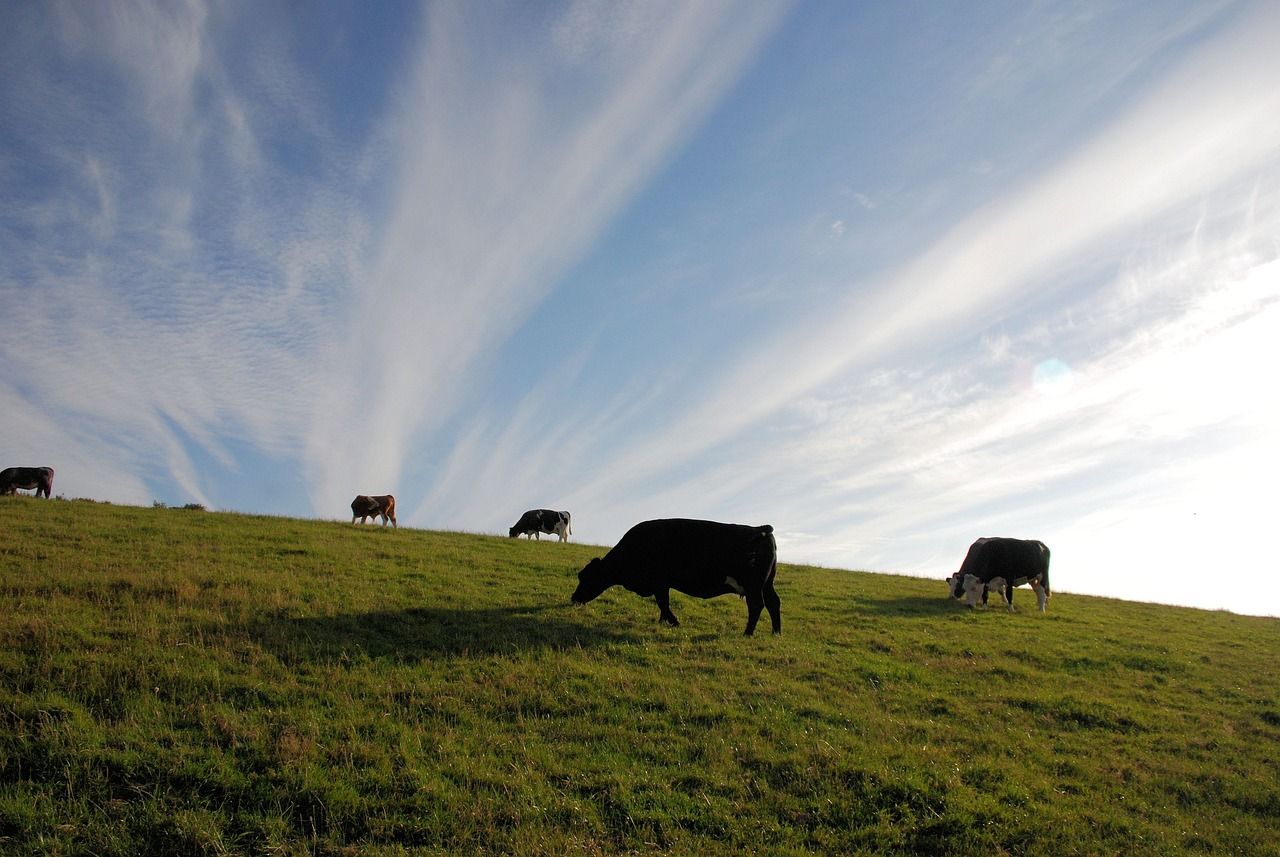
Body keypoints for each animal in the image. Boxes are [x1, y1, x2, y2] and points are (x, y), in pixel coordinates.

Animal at [571, 518, 781, 636]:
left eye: (586, 578)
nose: (573, 598)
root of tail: (760, 529)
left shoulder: (659, 582)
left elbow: (663, 603)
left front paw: (673, 622)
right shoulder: (660, 585)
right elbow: (663, 605)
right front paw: (663, 622)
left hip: (754, 585)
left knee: (757, 605)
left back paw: (748, 633)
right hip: (766, 584)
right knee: (773, 602)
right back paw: (776, 632)